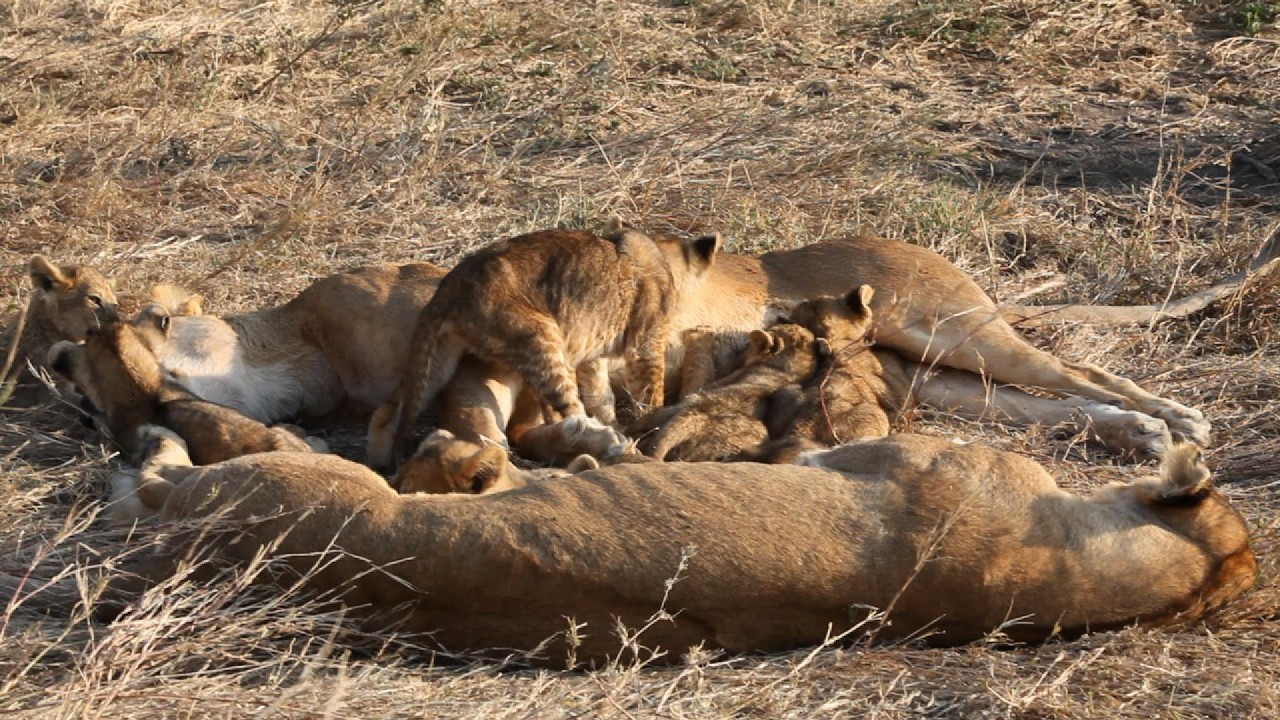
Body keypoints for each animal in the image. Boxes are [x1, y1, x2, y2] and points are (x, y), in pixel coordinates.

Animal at [365, 223, 721, 470]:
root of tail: (449, 287)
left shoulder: (591, 358)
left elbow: (601, 396)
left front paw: (615, 422)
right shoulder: (646, 343)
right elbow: (650, 395)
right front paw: (644, 426)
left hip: (437, 361)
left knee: (393, 408)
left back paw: (383, 460)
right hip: (542, 334)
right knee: (569, 411)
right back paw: (609, 445)